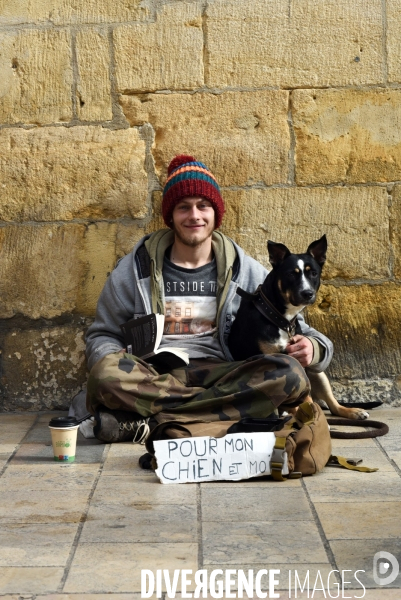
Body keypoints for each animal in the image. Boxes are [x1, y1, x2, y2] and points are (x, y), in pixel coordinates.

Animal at [228, 236, 368, 422]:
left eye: (313, 273)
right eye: (290, 274)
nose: (307, 293)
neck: (282, 319)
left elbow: (304, 396)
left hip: (317, 372)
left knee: (333, 406)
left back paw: (352, 411)